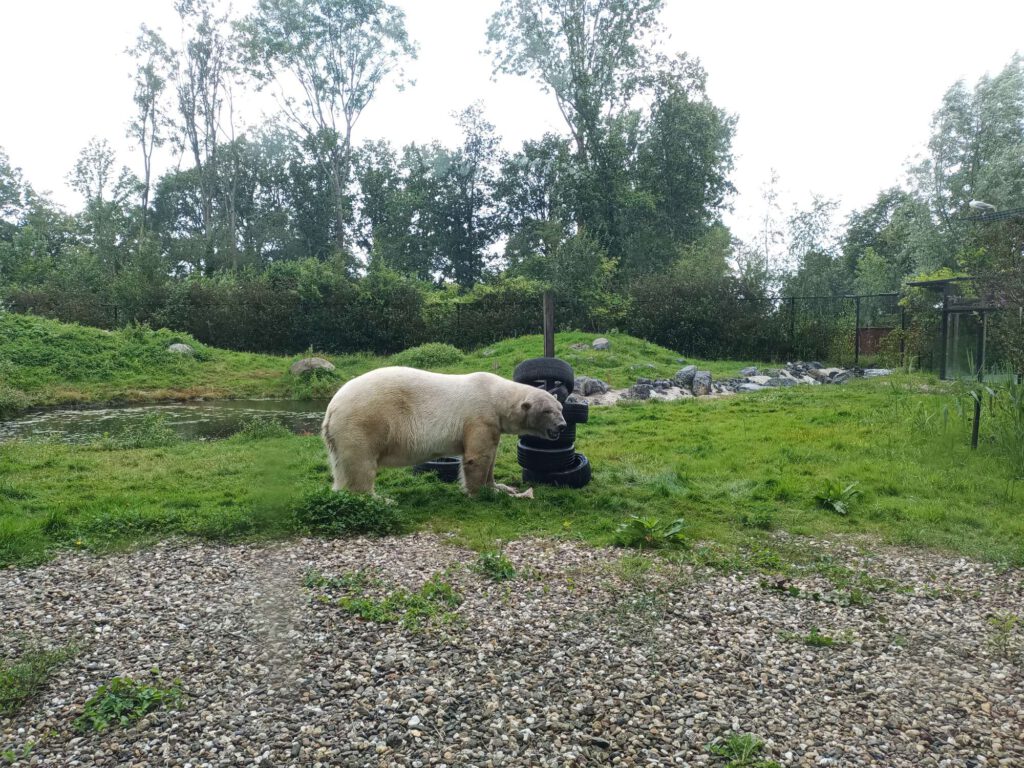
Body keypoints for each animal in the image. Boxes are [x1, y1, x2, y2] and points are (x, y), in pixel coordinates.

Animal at [317, 368, 565, 499]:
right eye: (547, 411)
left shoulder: (493, 423)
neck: (496, 396)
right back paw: (380, 499)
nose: (562, 426)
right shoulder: (479, 415)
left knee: (342, 467)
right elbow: (477, 457)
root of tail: (331, 407)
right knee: (361, 463)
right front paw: (481, 493)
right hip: (363, 421)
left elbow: (491, 457)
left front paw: (500, 487)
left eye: (560, 408)